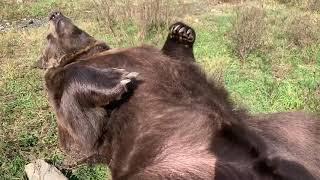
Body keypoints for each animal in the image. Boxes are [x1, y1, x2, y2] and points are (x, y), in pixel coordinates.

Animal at [38, 11, 318, 179]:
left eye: (52, 30)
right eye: (48, 36)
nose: (53, 13)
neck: (86, 53)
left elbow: (179, 59)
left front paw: (181, 31)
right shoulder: (69, 104)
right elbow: (80, 131)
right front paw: (120, 78)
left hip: (292, 129)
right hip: (175, 164)